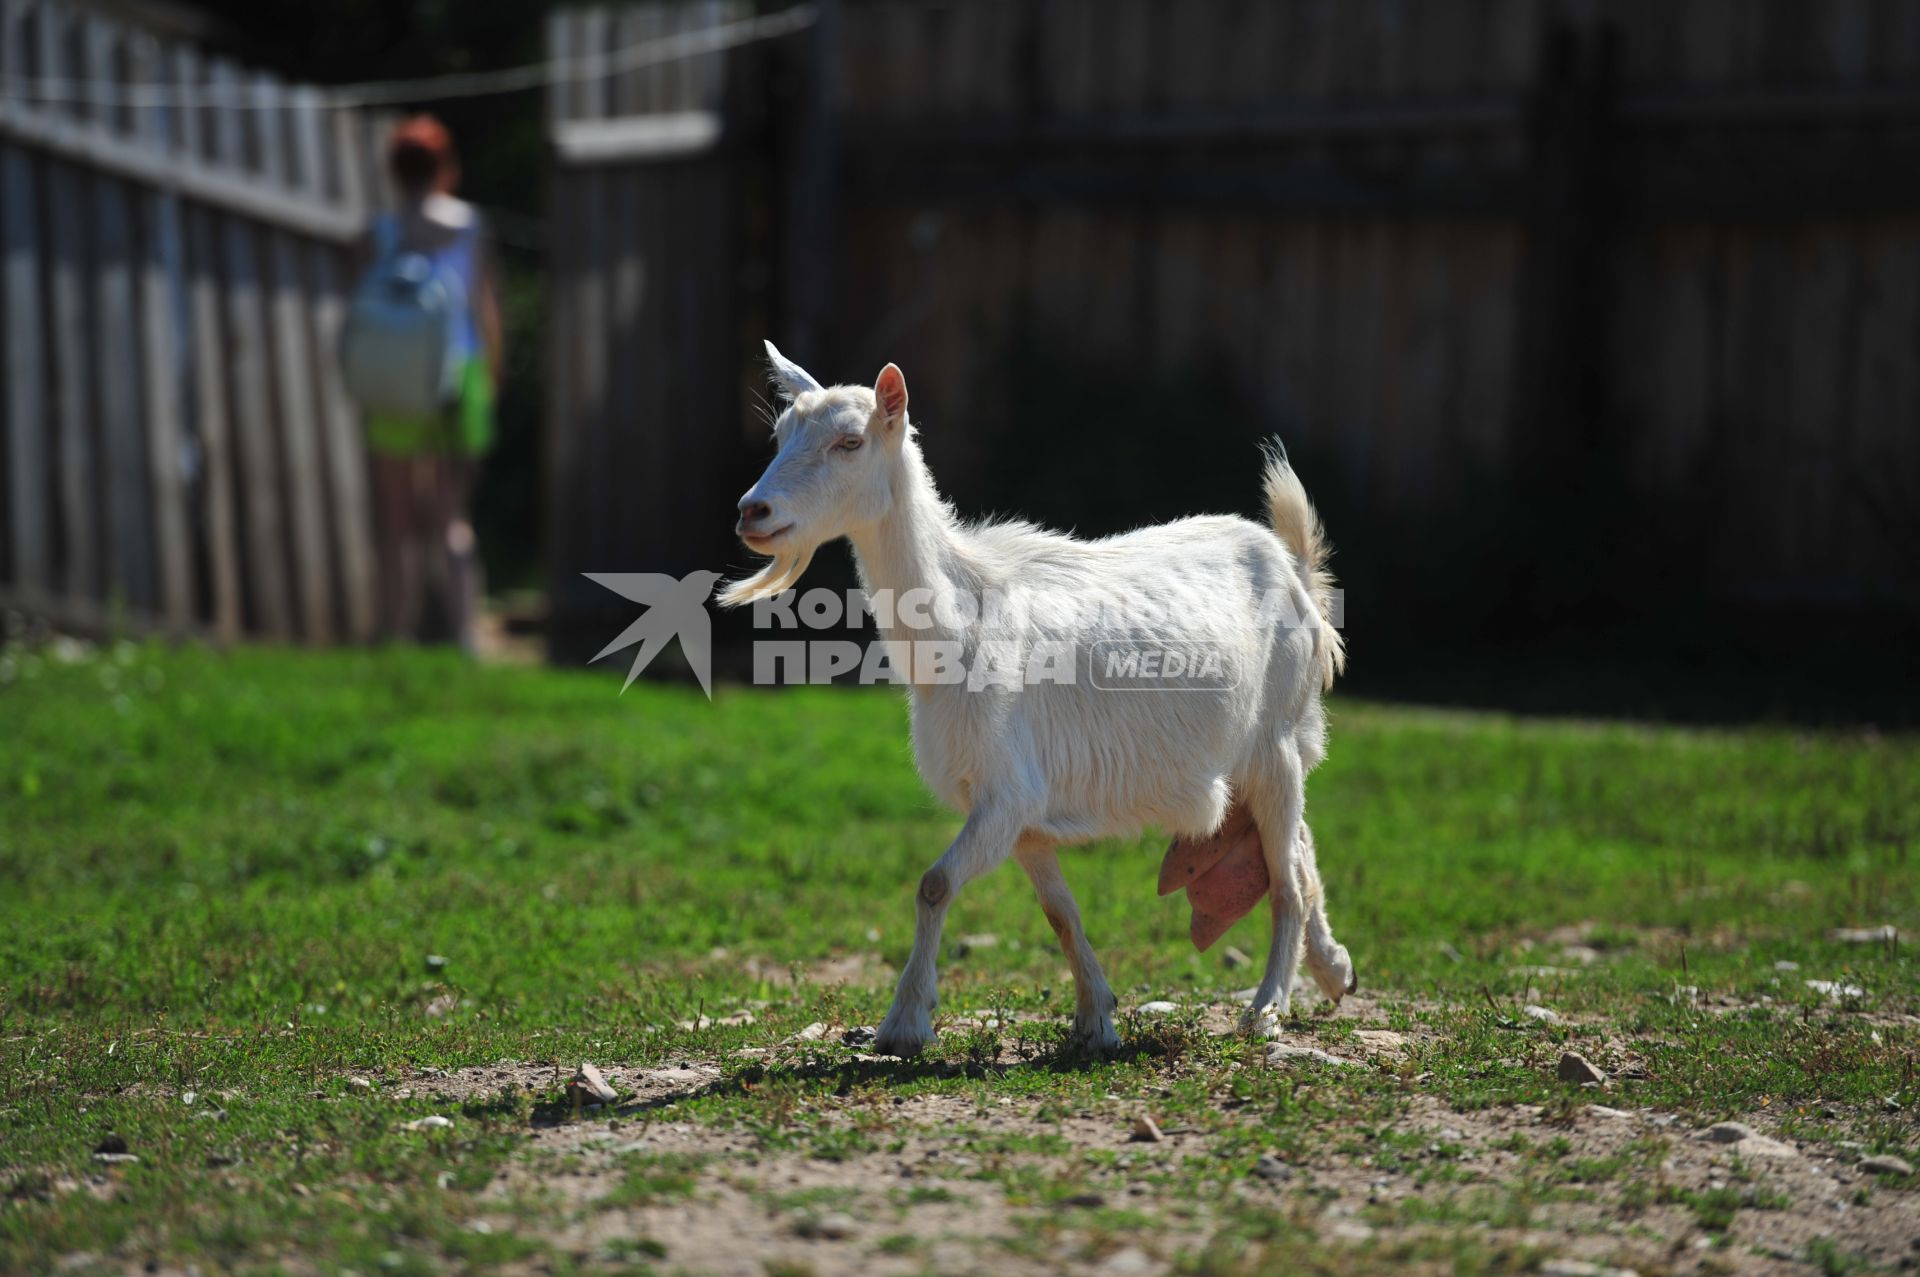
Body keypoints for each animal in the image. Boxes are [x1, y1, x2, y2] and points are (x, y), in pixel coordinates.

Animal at [725, 343, 1359, 1052]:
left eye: (850, 441)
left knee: (1286, 880)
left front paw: (904, 1023)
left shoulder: (1007, 793)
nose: (753, 512)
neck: (959, 621)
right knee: (1298, 848)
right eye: (782, 433)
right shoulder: (1023, 817)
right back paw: (1334, 969)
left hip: (1275, 741)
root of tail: (1293, 567)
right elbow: (1059, 912)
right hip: (1268, 753)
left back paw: (1268, 1006)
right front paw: (1095, 1019)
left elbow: (933, 885)